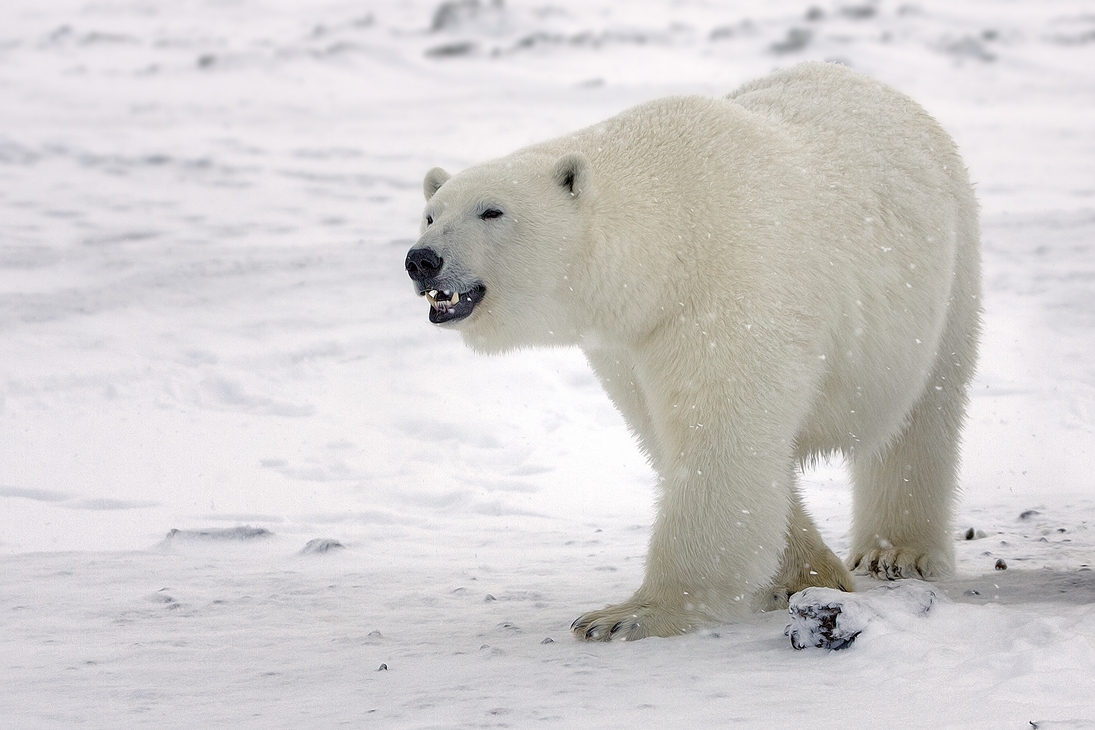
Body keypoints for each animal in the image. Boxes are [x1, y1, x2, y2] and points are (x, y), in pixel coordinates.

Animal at [405, 64, 985, 643]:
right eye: (430, 215)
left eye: (492, 211)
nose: (422, 260)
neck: (668, 237)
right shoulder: (631, 342)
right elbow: (676, 434)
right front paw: (803, 574)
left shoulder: (728, 292)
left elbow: (720, 439)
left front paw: (626, 616)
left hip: (947, 273)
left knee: (924, 415)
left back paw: (898, 552)